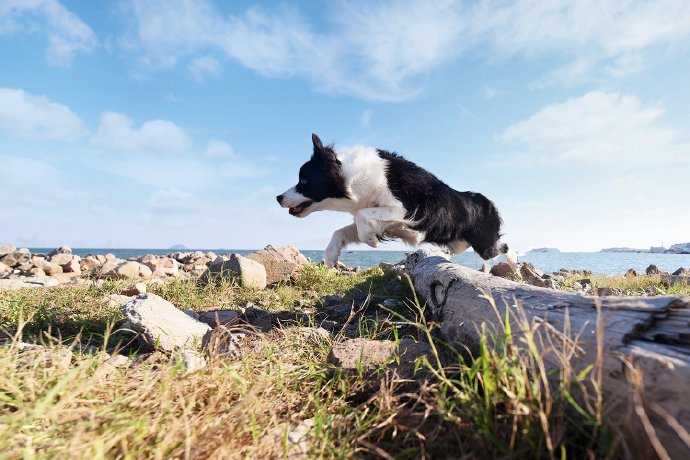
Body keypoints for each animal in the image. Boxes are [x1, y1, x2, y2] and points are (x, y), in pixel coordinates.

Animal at [276, 135, 516, 268]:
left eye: (303, 181)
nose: (278, 198)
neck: (351, 176)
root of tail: (488, 202)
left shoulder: (406, 209)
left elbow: (362, 218)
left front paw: (372, 240)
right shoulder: (377, 214)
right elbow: (342, 230)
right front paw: (330, 256)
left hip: (485, 245)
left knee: (504, 246)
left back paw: (515, 265)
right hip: (460, 243)